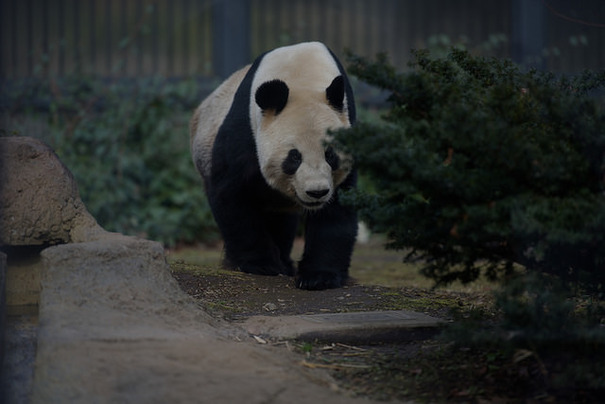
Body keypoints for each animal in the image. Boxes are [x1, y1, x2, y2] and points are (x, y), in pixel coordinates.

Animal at [191, 42, 356, 290]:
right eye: (294, 157)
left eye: (330, 155)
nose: (317, 192)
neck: (302, 76)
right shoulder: (245, 130)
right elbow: (231, 193)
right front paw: (260, 264)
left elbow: (338, 208)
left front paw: (319, 276)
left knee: (282, 221)